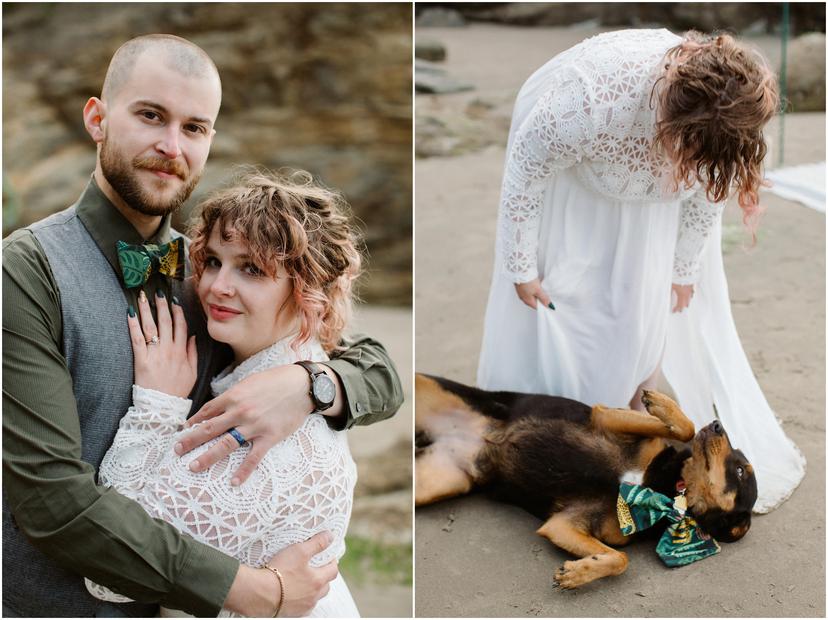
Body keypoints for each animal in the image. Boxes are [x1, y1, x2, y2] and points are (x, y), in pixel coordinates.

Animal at [414, 372, 756, 588]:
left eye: (741, 470)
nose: (718, 425)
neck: (666, 491)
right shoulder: (604, 417)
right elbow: (685, 429)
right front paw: (660, 404)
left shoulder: (563, 524)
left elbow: (619, 559)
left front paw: (577, 573)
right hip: (427, 385)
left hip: (436, 481)